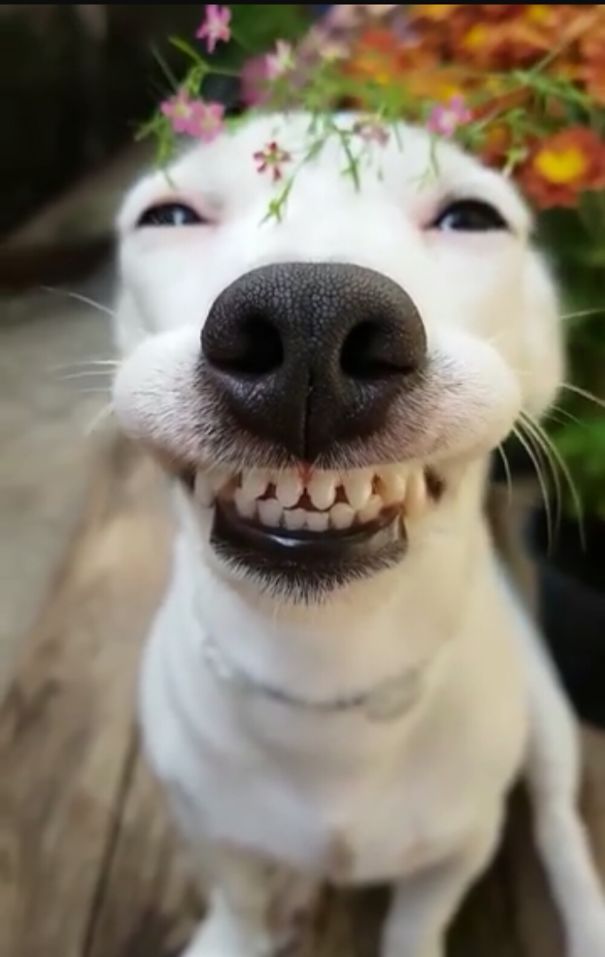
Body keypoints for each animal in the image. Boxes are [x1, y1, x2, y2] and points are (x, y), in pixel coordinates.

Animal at [112, 117, 604, 956]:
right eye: (168, 216)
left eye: (472, 217)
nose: (309, 317)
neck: (326, 664)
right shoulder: (208, 826)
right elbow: (240, 897)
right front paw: (231, 935)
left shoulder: (460, 844)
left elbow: (417, 917)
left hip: (545, 722)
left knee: (554, 818)